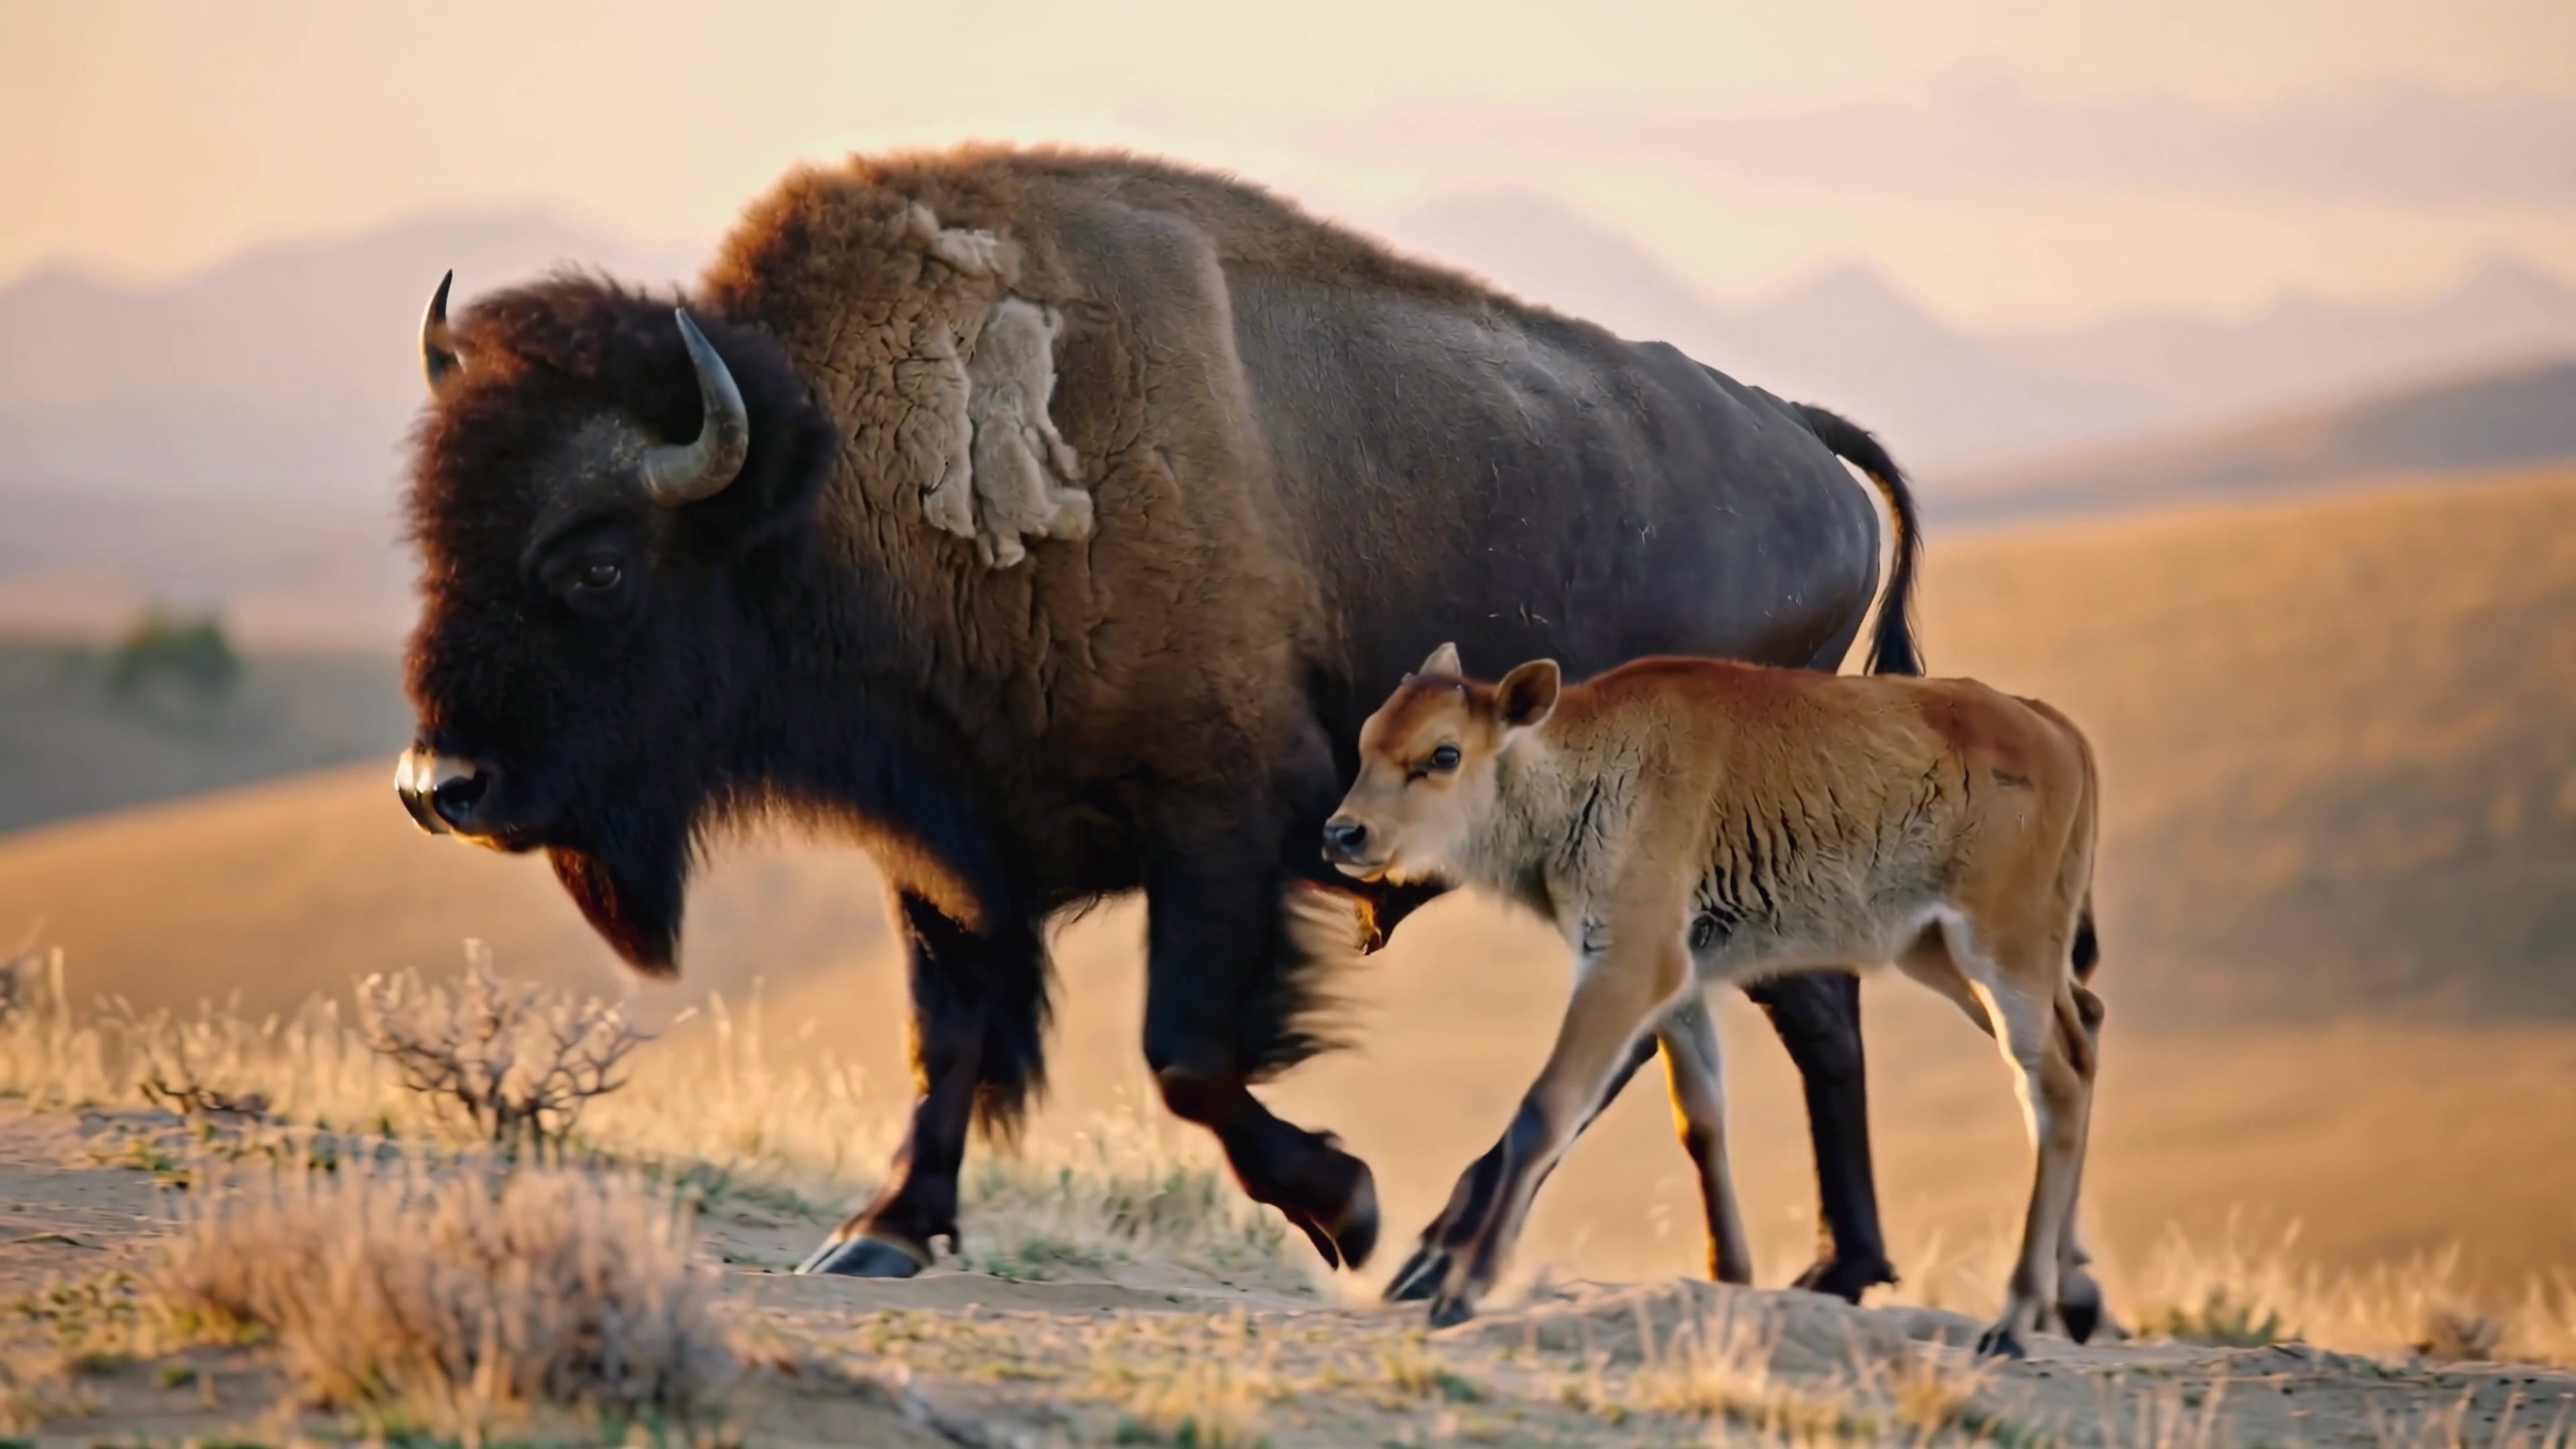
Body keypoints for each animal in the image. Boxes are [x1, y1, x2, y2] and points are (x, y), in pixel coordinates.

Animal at [391, 147, 1924, 1297]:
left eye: (595, 564)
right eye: (435, 534)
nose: (437, 785)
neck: (830, 477)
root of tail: (1801, 436)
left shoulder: (1224, 825)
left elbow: (1185, 1055)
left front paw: (1345, 1207)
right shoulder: (944, 851)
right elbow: (949, 1036)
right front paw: (881, 1233)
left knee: (1683, 1024)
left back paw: (1452, 1251)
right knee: (1793, 1014)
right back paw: (1828, 1269)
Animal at [1323, 646, 2106, 1352]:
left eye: (1444, 754)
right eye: (1368, 740)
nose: (1343, 832)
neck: (1579, 768)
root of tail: (2058, 730)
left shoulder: (1629, 965)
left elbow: (1546, 1110)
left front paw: (1461, 1289)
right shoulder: (1684, 986)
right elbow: (1699, 1118)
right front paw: (1730, 1279)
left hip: (2001, 951)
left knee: (2052, 1085)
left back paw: (2014, 1321)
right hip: (1940, 953)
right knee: (2081, 1040)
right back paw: (2062, 1299)